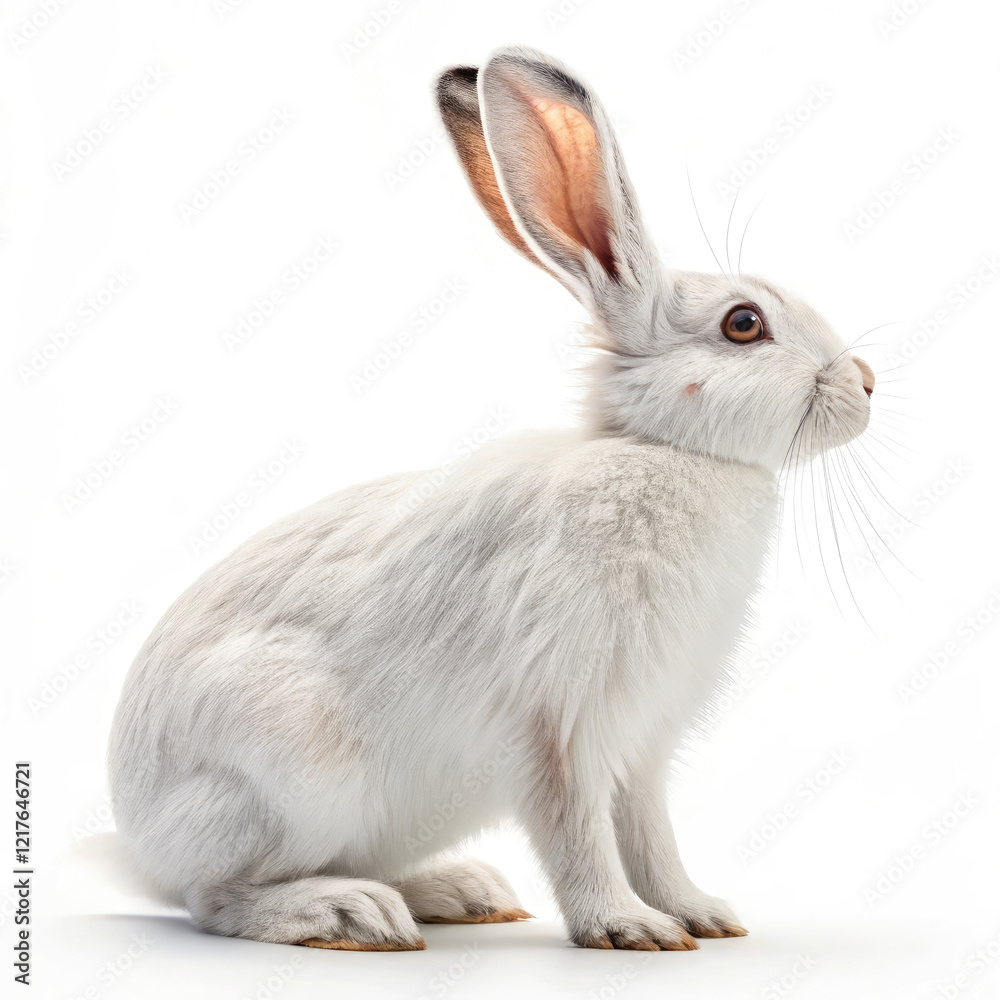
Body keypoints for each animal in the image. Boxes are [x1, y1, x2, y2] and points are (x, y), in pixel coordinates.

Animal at [107, 44, 875, 953]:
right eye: (744, 324)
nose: (868, 384)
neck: (661, 451)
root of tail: (139, 841)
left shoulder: (642, 741)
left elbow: (650, 835)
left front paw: (699, 916)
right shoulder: (558, 724)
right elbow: (579, 833)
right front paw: (626, 929)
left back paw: (458, 892)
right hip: (287, 774)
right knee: (216, 899)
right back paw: (353, 913)